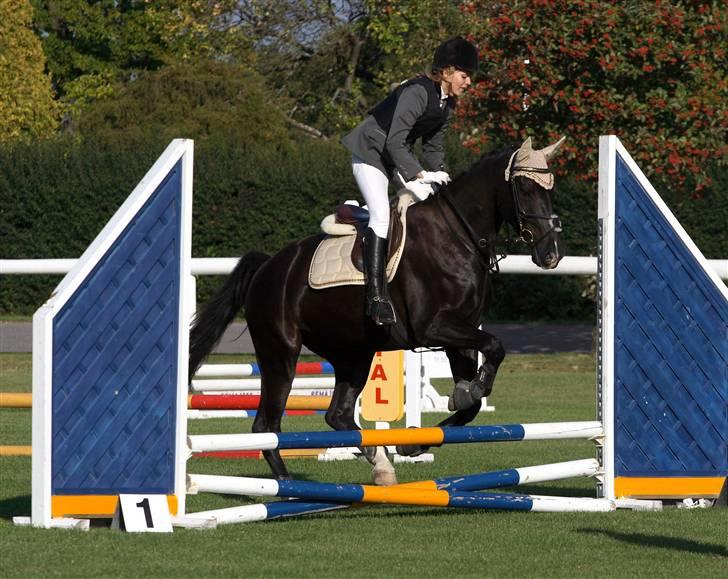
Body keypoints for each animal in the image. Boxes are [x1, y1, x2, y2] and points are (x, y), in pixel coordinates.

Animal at [188, 136, 564, 484]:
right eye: (524, 187)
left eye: (551, 189)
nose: (551, 254)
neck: (459, 235)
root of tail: (267, 267)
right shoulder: (434, 327)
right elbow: (495, 347)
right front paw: (471, 390)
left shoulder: (461, 334)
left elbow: (471, 403)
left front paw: (414, 443)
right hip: (280, 352)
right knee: (267, 424)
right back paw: (287, 484)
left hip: (352, 354)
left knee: (337, 414)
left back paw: (382, 465)